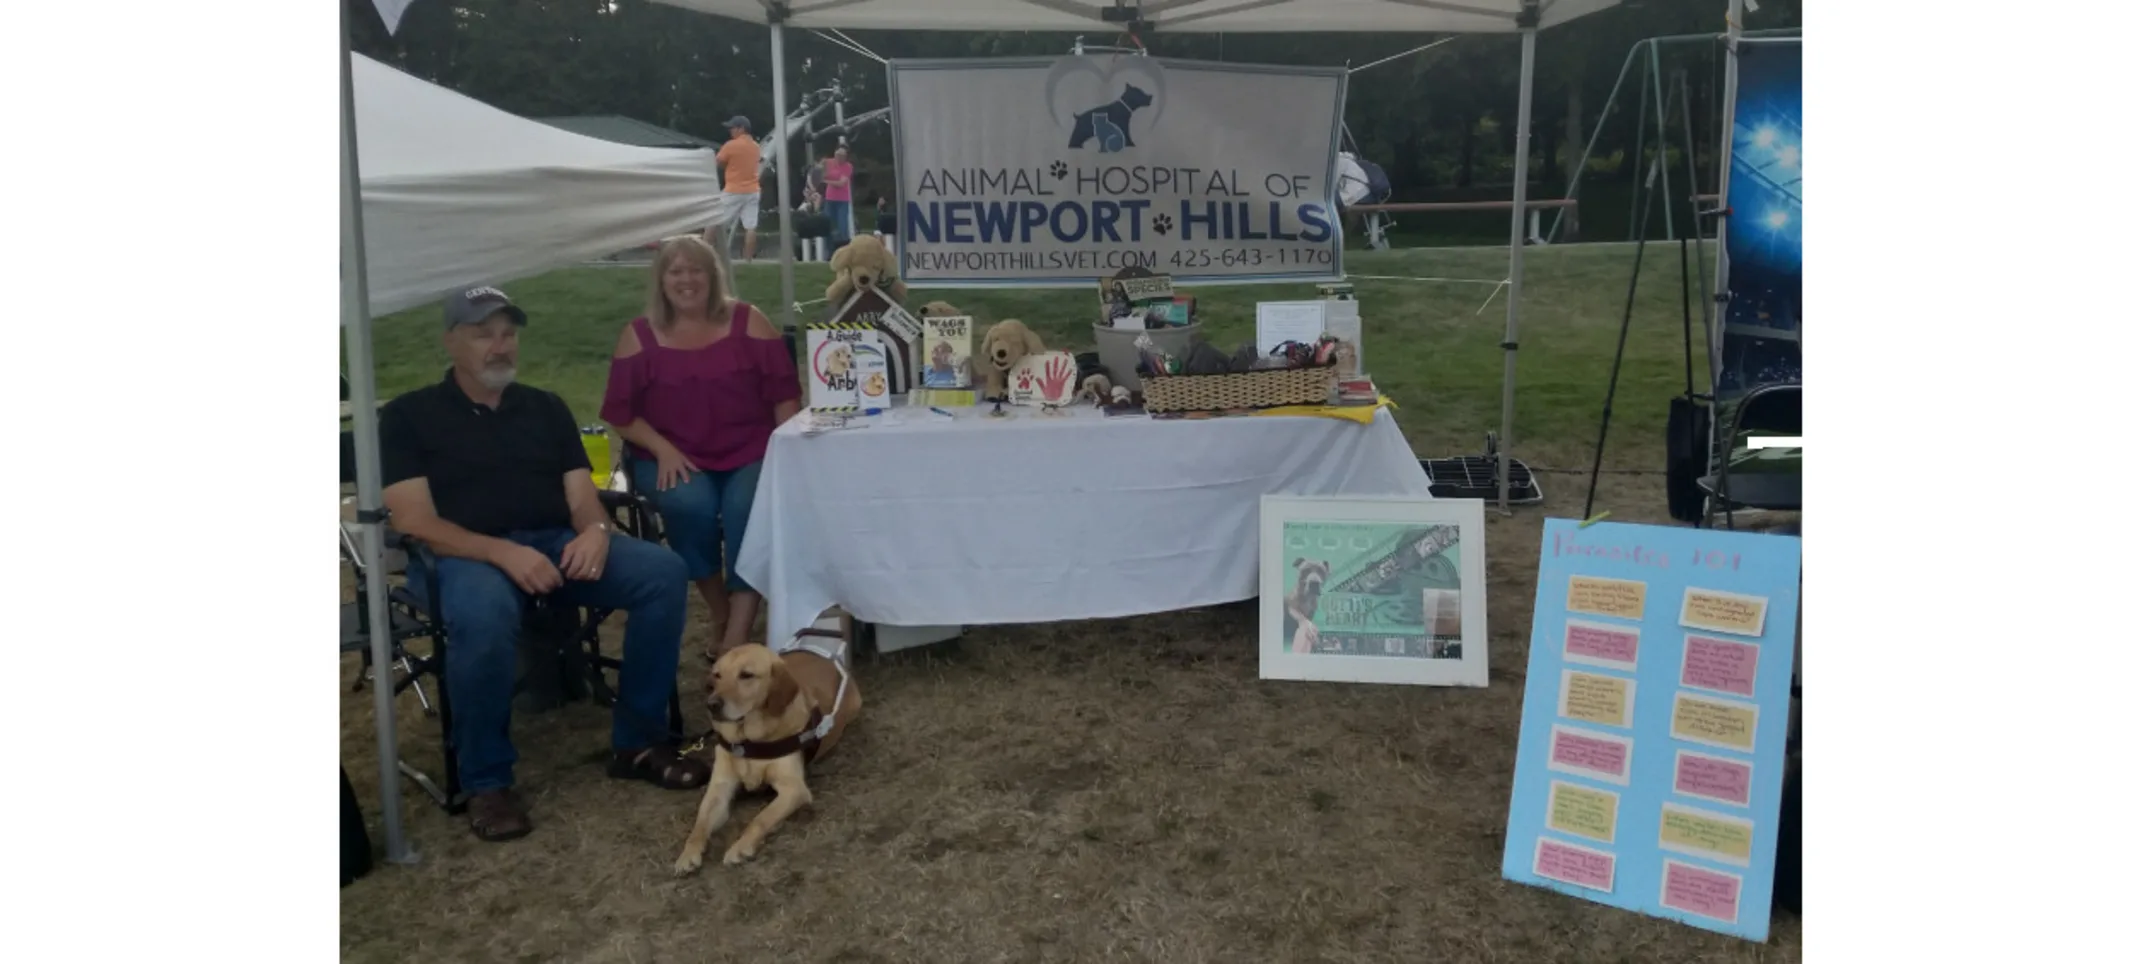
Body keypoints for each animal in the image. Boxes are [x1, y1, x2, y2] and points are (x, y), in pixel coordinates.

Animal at [676, 634, 860, 874]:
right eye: (717, 675)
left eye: (746, 675)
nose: (712, 704)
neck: (749, 740)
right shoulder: (719, 788)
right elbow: (700, 823)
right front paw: (688, 853)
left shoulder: (794, 790)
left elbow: (761, 818)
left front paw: (741, 847)